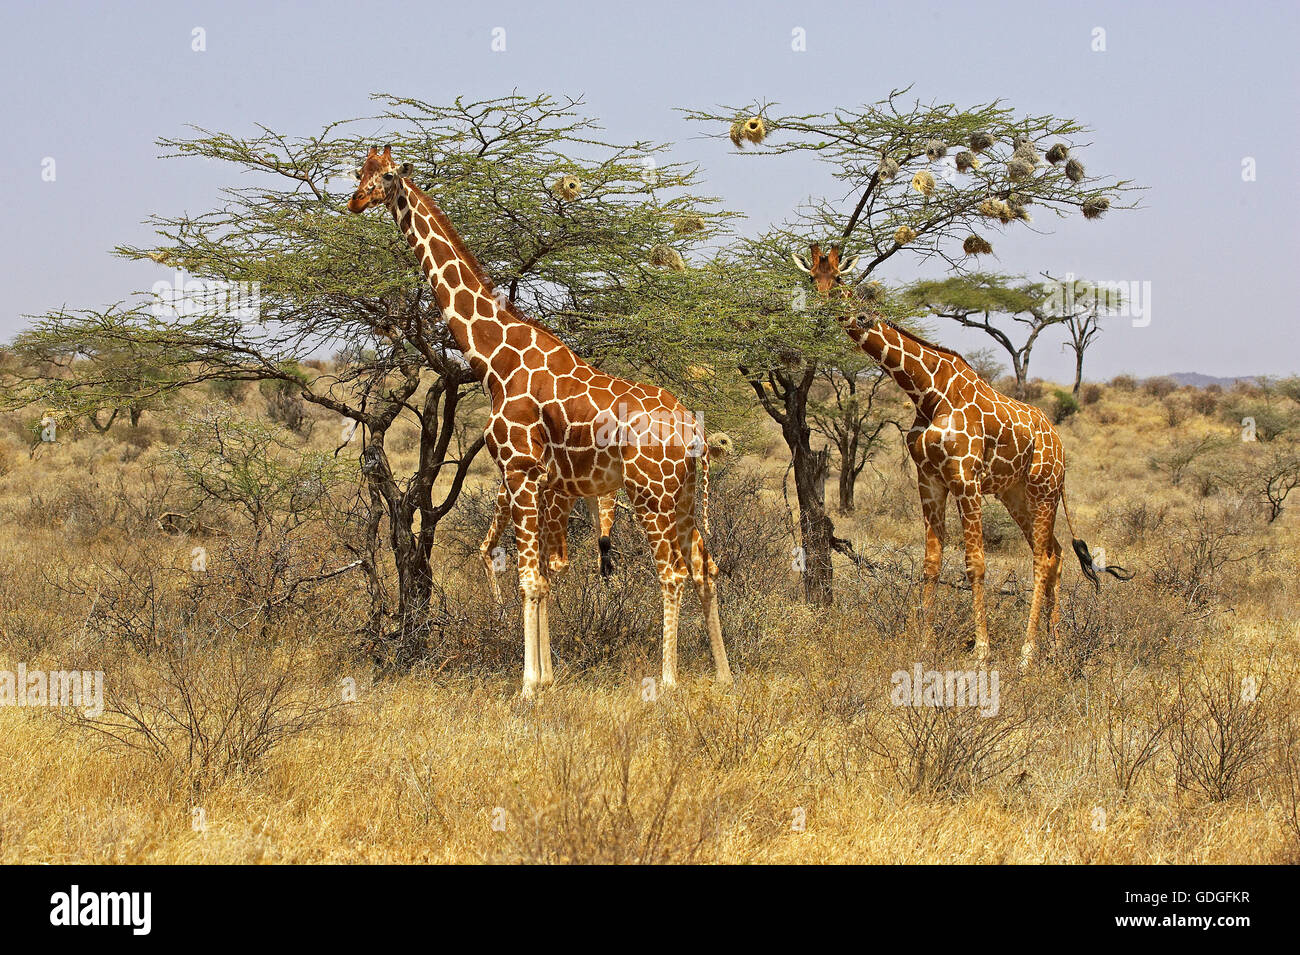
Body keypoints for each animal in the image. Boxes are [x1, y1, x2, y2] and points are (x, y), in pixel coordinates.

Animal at [345, 145, 733, 696]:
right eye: (360, 171)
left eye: (387, 176)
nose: (356, 200)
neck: (494, 357)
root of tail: (694, 428)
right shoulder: (547, 483)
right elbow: (545, 576)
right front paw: (548, 679)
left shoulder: (520, 470)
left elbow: (528, 578)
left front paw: (528, 685)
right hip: (681, 496)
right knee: (706, 566)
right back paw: (723, 674)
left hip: (650, 492)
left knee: (672, 574)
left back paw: (669, 682)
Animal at [790, 242, 1128, 670]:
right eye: (810, 279)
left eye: (837, 280)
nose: (820, 311)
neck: (927, 391)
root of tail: (1061, 445)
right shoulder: (930, 480)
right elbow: (931, 562)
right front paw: (924, 642)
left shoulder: (966, 480)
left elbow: (975, 562)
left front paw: (982, 649)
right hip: (1016, 494)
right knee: (1053, 553)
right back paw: (1052, 645)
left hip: (1045, 490)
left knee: (1041, 559)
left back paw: (1027, 652)